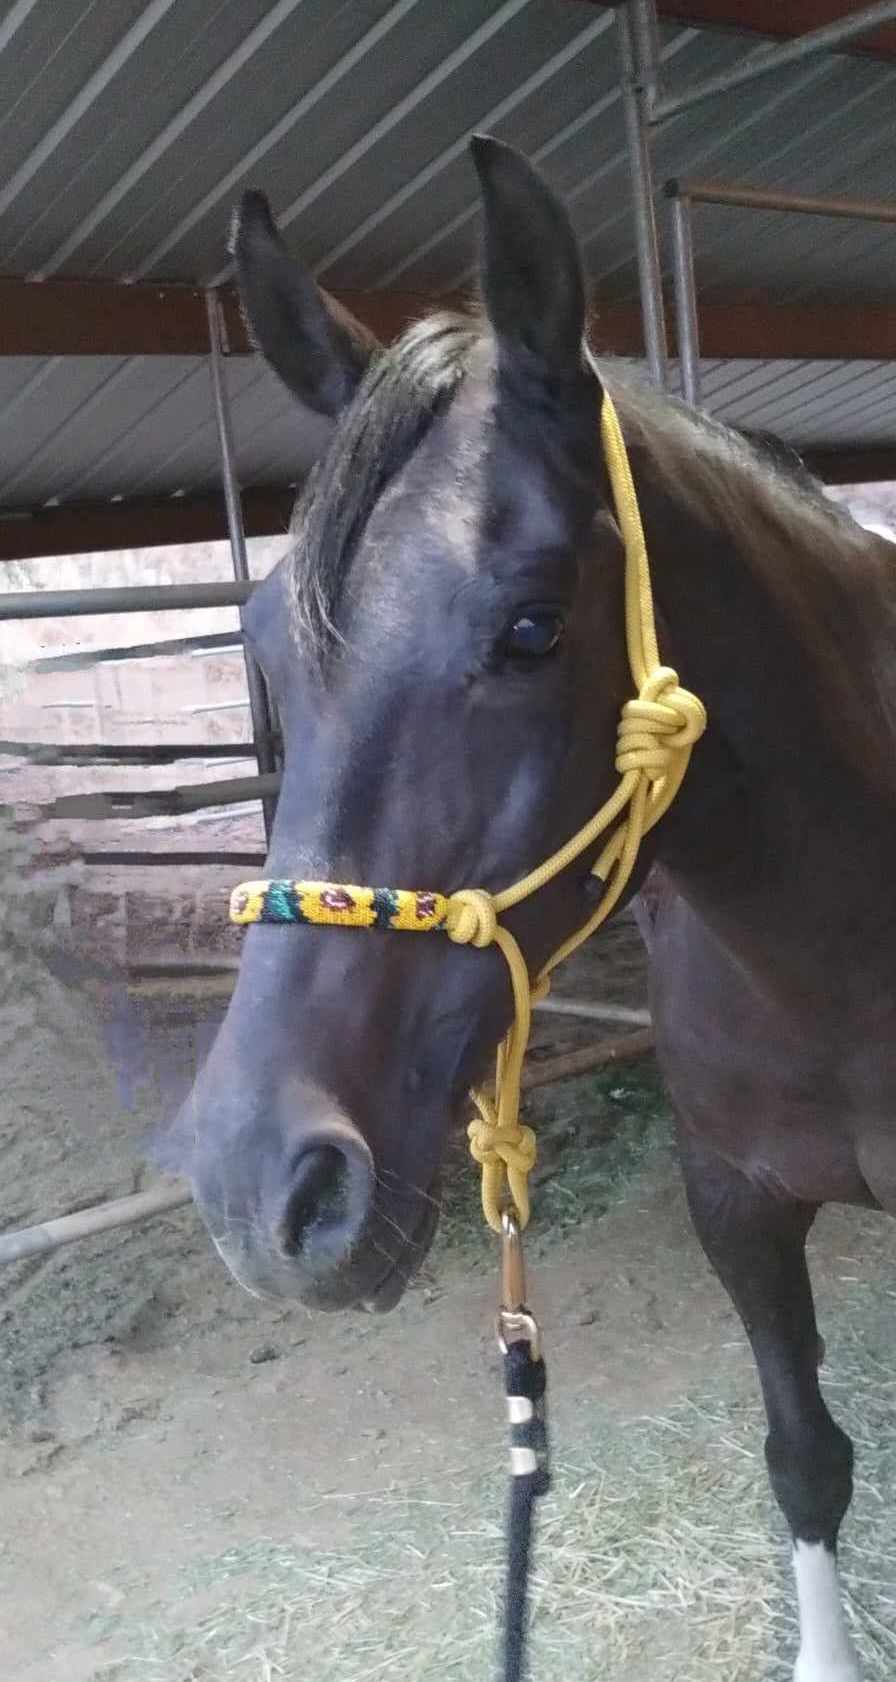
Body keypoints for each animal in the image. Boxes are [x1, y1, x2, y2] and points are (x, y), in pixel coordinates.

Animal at [174, 141, 894, 1682]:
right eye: (263, 643)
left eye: (528, 625)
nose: (257, 1188)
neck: (833, 951)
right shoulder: (732, 1198)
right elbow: (804, 1457)